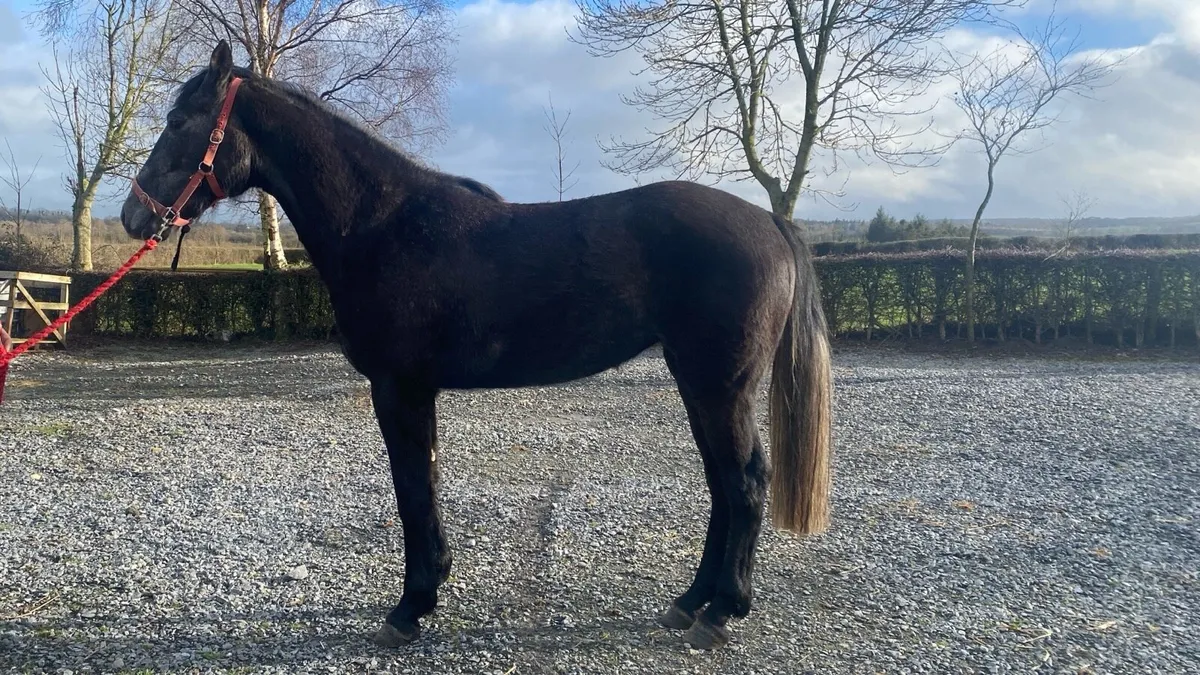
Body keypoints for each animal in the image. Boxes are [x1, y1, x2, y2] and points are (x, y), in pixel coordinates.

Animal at [120, 41, 833, 651]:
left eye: (180, 121)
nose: (134, 215)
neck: (383, 225)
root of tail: (771, 222)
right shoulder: (416, 390)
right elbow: (426, 481)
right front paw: (429, 588)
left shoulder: (399, 387)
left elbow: (412, 488)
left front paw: (409, 608)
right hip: (698, 381)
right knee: (723, 484)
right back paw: (688, 604)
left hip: (720, 384)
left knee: (745, 482)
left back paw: (721, 612)